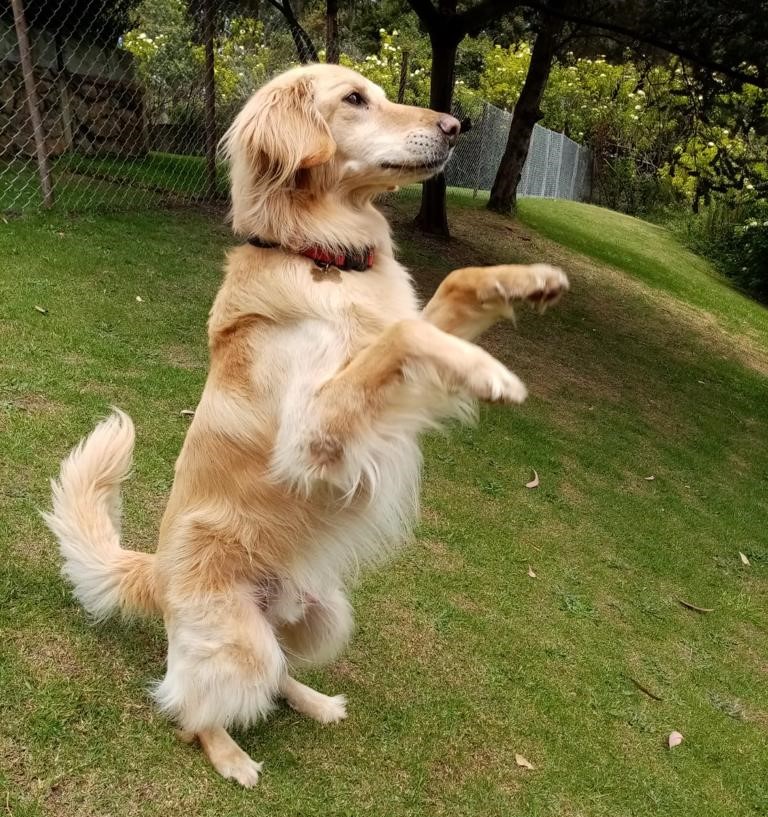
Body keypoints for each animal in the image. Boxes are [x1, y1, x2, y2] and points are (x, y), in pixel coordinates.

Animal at [43, 63, 568, 784]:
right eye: (354, 100)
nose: (454, 126)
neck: (322, 254)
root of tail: (155, 573)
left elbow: (446, 292)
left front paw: (525, 281)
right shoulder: (313, 434)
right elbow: (405, 332)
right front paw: (489, 372)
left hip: (328, 614)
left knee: (279, 673)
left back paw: (315, 701)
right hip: (241, 643)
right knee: (190, 706)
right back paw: (232, 755)